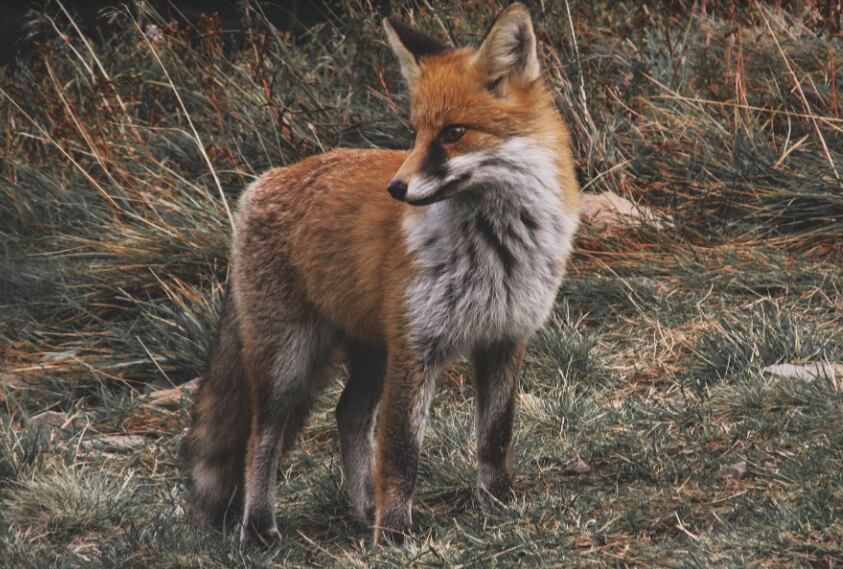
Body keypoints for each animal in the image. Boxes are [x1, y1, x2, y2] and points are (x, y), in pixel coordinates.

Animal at [183, 3, 580, 546]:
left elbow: (495, 436)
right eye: (414, 132)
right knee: (260, 437)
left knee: (347, 414)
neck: (495, 247)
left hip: (371, 352)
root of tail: (262, 183)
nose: (397, 188)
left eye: (453, 132)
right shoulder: (416, 347)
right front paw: (393, 534)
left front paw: (498, 502)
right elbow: (400, 452)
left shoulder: (504, 336)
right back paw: (260, 526)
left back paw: (361, 507)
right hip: (288, 361)